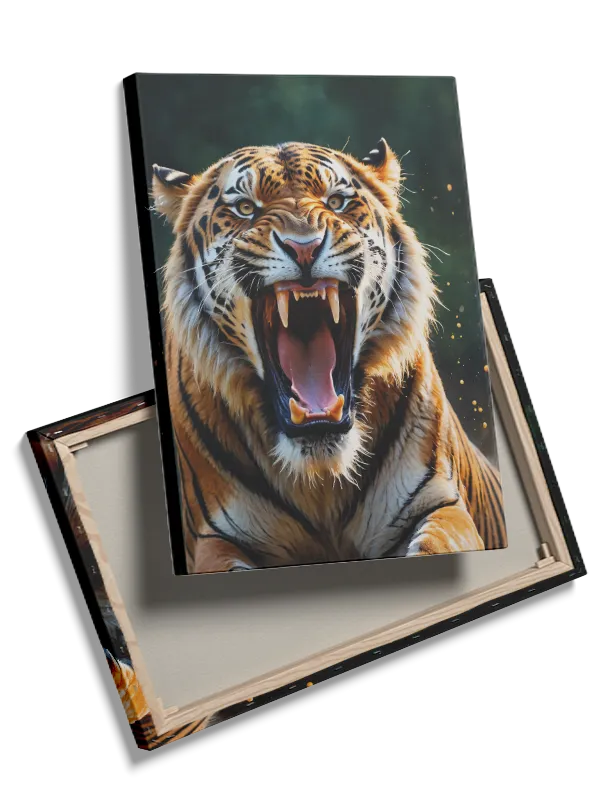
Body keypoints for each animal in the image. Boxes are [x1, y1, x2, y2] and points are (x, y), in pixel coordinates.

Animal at [151, 138, 507, 574]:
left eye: (336, 202)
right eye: (246, 208)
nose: (303, 247)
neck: (320, 481)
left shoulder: (439, 505)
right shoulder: (215, 540)